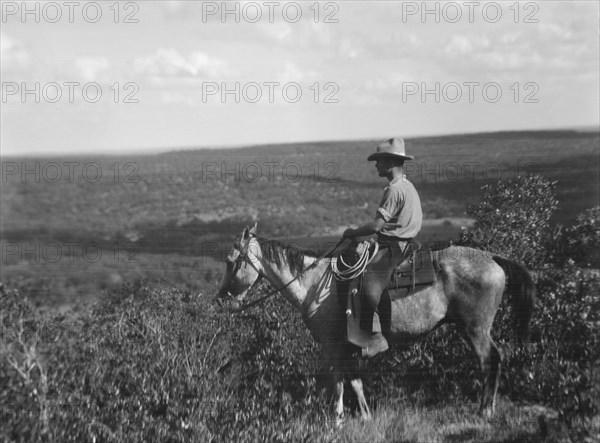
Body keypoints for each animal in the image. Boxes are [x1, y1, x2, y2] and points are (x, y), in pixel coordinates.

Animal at [216, 224, 536, 422]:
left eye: (231, 261)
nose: (221, 299)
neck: (314, 284)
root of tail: (492, 257)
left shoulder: (332, 346)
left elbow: (338, 383)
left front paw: (337, 421)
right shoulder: (347, 347)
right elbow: (355, 382)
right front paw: (366, 416)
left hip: (475, 328)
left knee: (490, 360)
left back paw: (486, 410)